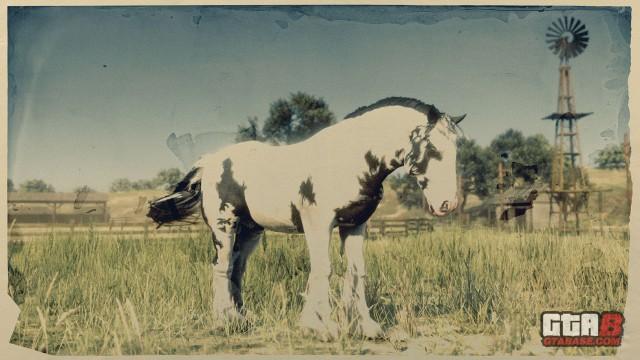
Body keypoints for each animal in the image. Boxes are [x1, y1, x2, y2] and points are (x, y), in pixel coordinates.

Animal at [146, 96, 464, 340]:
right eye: (433, 148)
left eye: (456, 149)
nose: (447, 204)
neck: (346, 160)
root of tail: (209, 161)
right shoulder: (318, 224)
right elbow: (324, 270)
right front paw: (320, 327)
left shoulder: (354, 226)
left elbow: (356, 272)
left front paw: (365, 327)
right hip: (224, 227)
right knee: (221, 269)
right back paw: (225, 321)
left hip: (250, 232)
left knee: (236, 271)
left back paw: (242, 320)